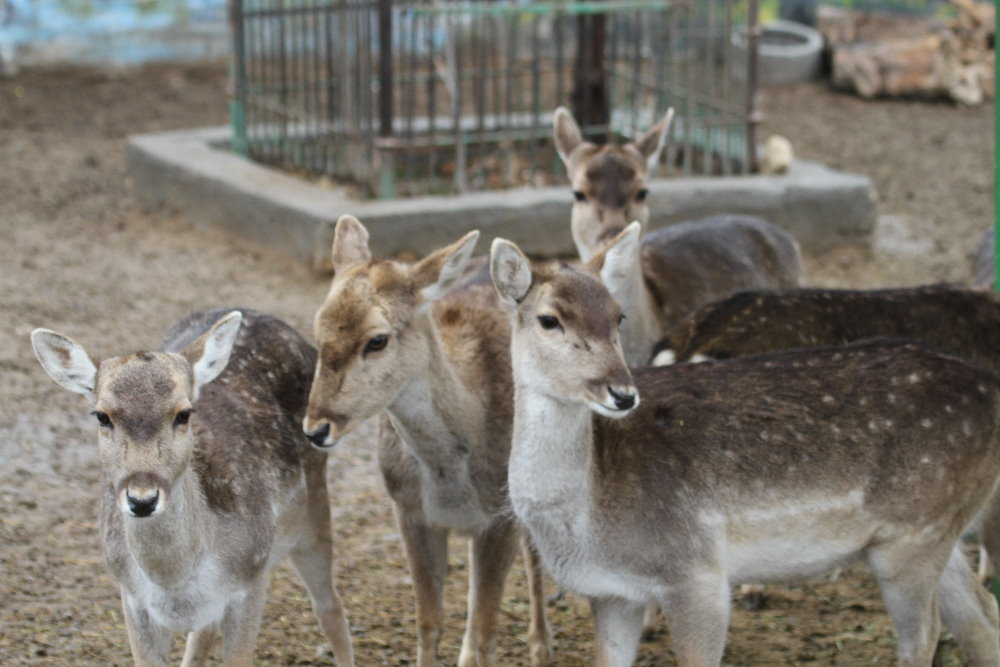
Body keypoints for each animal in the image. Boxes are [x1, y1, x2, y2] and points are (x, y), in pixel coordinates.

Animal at [31, 308, 355, 667]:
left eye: (183, 414)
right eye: (102, 415)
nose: (142, 499)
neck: (175, 583)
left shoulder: (251, 579)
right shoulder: (130, 594)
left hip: (313, 501)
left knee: (329, 605)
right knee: (203, 632)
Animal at [301, 215, 550, 667]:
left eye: (377, 339)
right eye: (318, 328)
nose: (316, 428)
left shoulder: (501, 517)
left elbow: (485, 628)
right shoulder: (409, 511)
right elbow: (430, 622)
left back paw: (542, 646)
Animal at [490, 236, 1000, 666]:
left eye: (619, 316)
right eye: (549, 319)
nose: (621, 392)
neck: (592, 522)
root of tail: (991, 389)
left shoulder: (697, 574)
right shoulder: (613, 594)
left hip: (913, 534)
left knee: (926, 632)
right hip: (934, 530)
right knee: (980, 613)